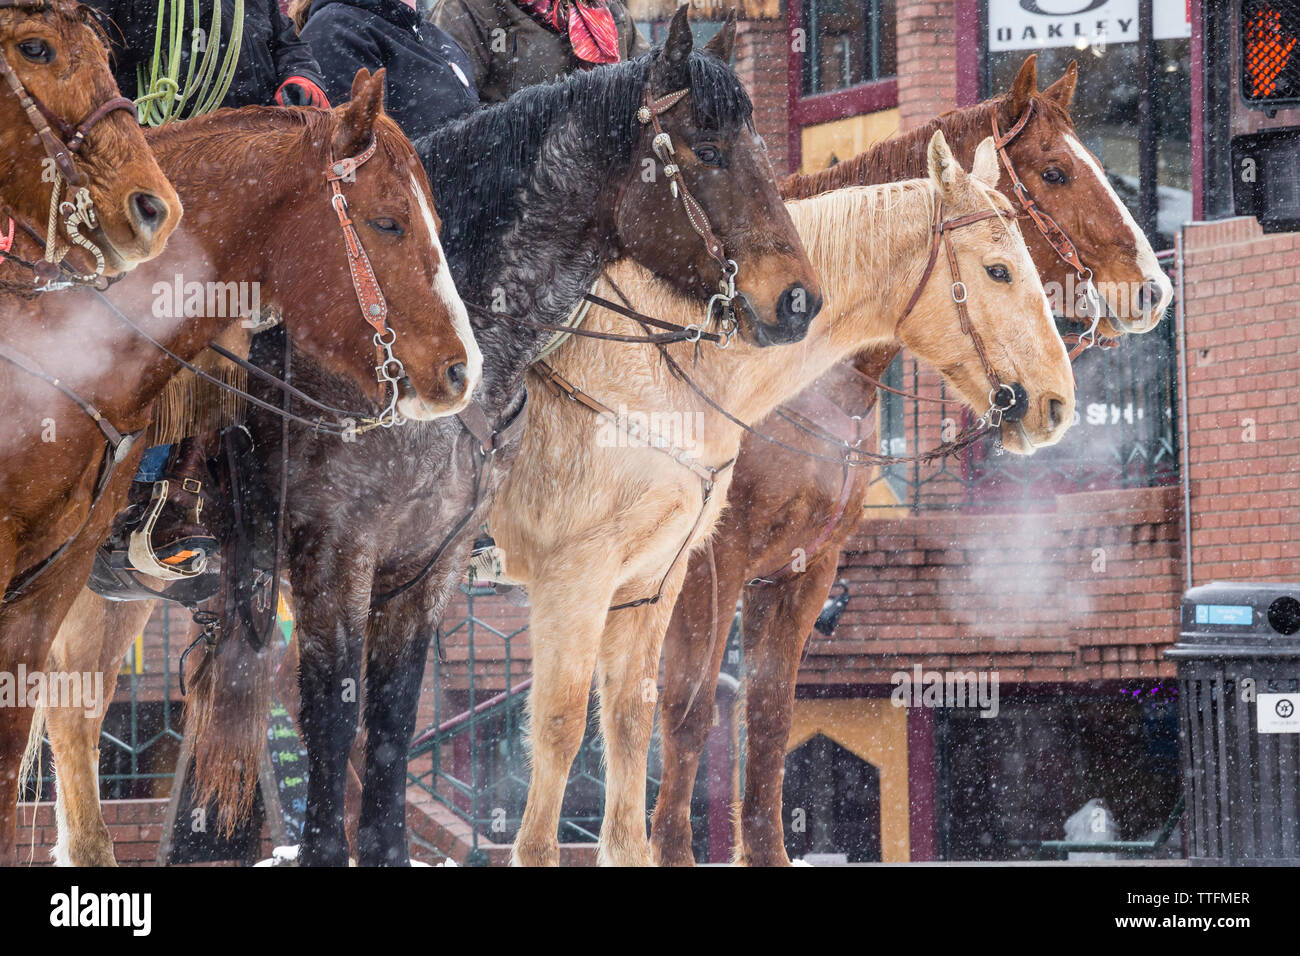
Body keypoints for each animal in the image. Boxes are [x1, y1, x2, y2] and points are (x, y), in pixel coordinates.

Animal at [488, 128, 1076, 868]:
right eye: (998, 270)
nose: (1057, 402)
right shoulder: (613, 575)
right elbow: (611, 721)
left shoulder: (689, 577)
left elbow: (700, 720)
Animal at [650, 57, 1180, 868]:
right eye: (1055, 171)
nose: (1153, 288)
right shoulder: (709, 568)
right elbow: (687, 718)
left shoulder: (799, 573)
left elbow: (767, 725)